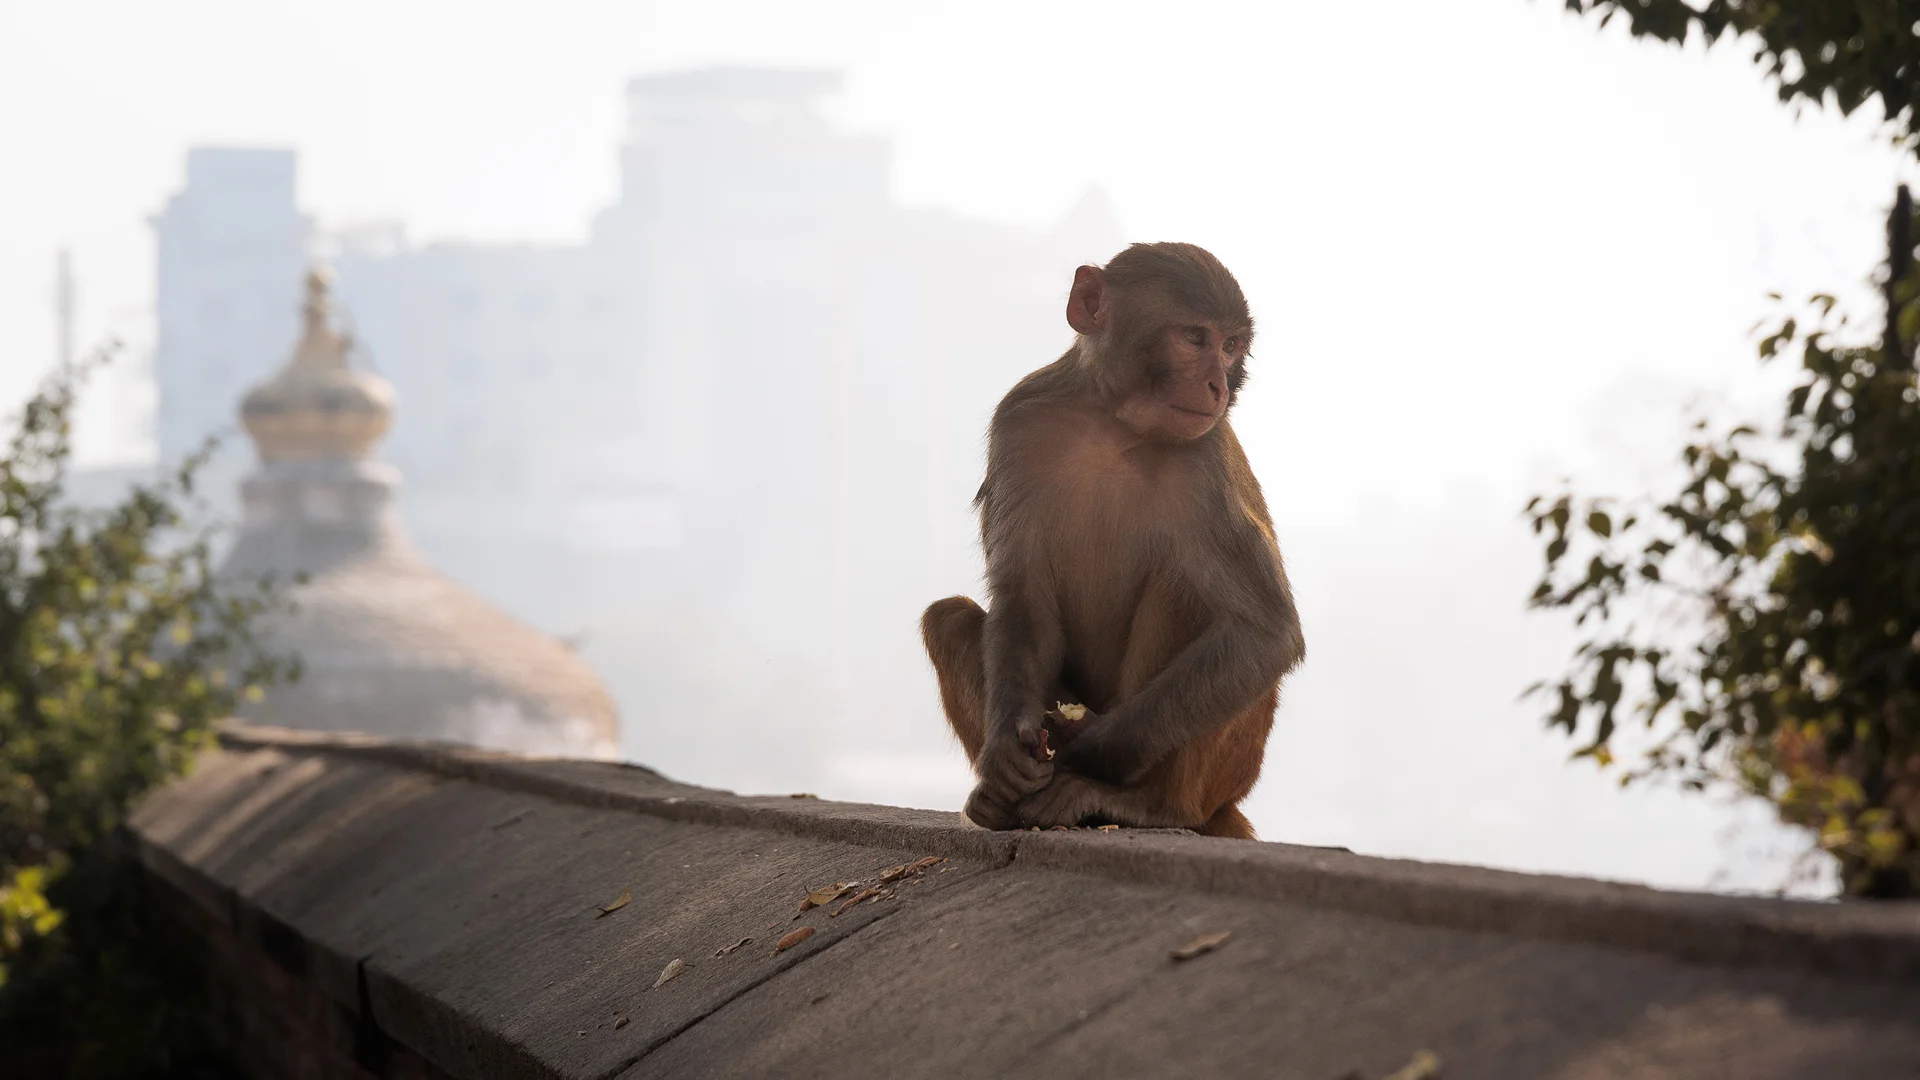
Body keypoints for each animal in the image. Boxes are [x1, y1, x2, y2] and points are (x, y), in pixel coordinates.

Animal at [917, 239, 1305, 837]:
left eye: (1231, 345)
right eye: (1195, 338)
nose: (1217, 385)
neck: (1115, 424)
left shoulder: (1206, 458)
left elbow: (1265, 632)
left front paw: (1084, 755)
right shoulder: (1019, 421)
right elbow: (1022, 596)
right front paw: (1005, 757)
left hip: (1230, 769)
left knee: (1186, 588)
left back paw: (1144, 804)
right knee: (950, 617)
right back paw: (996, 805)